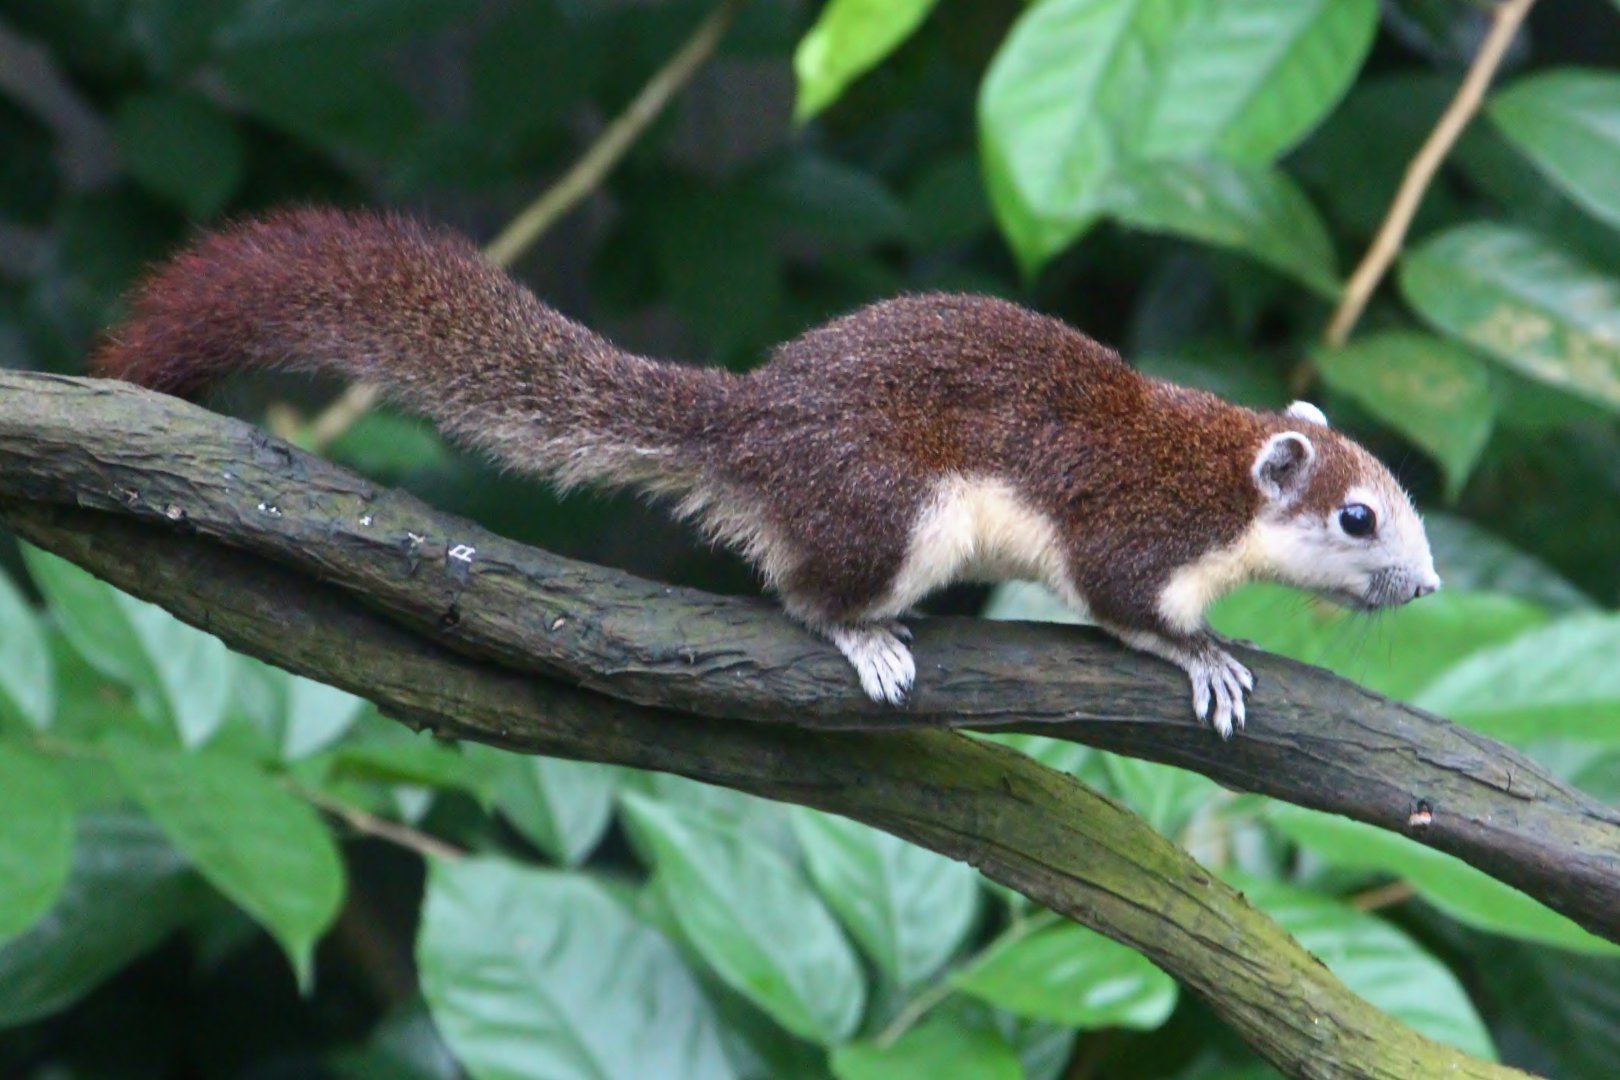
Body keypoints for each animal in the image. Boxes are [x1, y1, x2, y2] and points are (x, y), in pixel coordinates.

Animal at [96, 208, 1441, 738]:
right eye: (1358, 517)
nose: (1429, 590)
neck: (1219, 473)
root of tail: (748, 421)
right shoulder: (1134, 528)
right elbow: (1127, 609)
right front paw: (1205, 656)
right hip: (893, 512)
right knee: (801, 592)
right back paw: (867, 639)